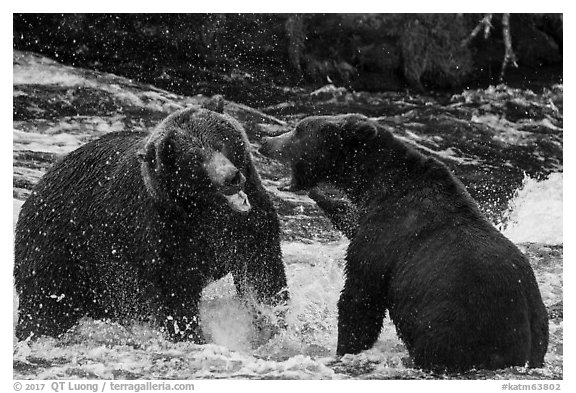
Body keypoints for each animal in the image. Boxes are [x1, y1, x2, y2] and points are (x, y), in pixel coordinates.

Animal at [14, 102, 288, 342]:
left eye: (221, 143)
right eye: (195, 160)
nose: (230, 177)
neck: (202, 211)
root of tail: (35, 191)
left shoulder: (248, 222)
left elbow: (261, 272)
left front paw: (271, 319)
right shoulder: (162, 234)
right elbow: (175, 296)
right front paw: (192, 335)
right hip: (59, 251)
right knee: (46, 307)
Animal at [260, 112, 548, 370]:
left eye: (300, 128)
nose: (265, 141)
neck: (374, 182)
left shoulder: (385, 236)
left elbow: (360, 297)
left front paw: (345, 348)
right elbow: (348, 220)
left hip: (457, 322)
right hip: (536, 322)